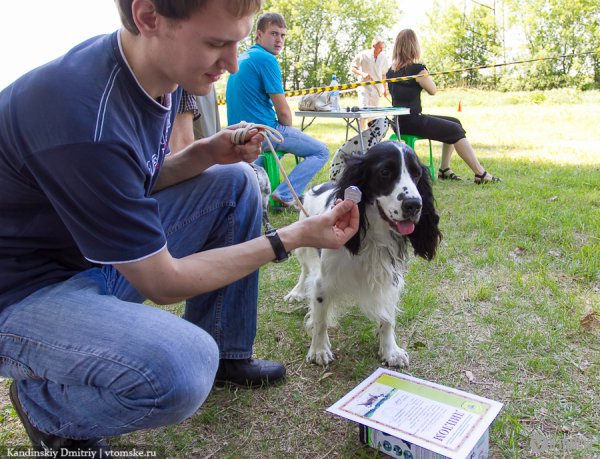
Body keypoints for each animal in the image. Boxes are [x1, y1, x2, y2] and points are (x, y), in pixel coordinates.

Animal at [286, 142, 440, 368]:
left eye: (417, 174)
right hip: (303, 244)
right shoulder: (323, 281)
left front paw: (390, 350)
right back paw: (296, 292)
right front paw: (319, 349)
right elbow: (320, 318)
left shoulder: (389, 280)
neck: (373, 235)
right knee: (305, 270)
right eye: (385, 172)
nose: (414, 204)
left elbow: (388, 318)